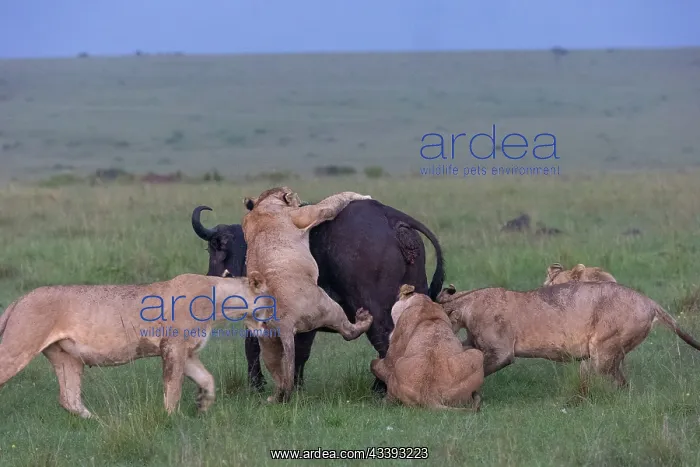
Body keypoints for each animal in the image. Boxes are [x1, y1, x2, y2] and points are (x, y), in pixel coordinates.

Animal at [0, 272, 271, 418]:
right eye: (271, 299)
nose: (273, 320)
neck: (221, 302)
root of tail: (19, 300)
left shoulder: (188, 353)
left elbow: (207, 379)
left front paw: (203, 406)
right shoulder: (173, 347)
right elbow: (173, 386)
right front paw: (172, 418)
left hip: (67, 357)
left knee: (69, 399)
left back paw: (98, 421)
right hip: (18, 347)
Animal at [242, 186, 374, 402]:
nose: (298, 198)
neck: (263, 205)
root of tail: (284, 321)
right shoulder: (307, 214)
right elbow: (333, 201)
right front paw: (362, 196)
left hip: (268, 343)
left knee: (281, 378)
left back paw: (273, 398)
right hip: (329, 307)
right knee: (348, 332)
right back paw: (364, 319)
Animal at [437, 281, 700, 392]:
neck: (467, 304)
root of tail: (650, 302)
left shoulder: (502, 353)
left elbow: (480, 369)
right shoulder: (472, 341)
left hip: (603, 353)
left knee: (616, 381)